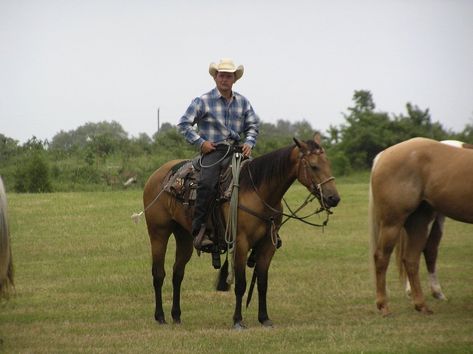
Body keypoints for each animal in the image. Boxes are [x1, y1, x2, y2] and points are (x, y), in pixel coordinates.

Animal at [142, 134, 338, 328]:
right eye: (313, 166)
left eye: (328, 163)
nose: (334, 198)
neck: (258, 192)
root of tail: (157, 175)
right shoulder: (240, 243)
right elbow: (241, 284)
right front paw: (237, 320)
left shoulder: (268, 245)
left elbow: (262, 283)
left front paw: (264, 318)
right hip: (159, 233)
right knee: (158, 273)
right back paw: (160, 317)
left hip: (184, 236)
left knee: (177, 274)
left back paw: (176, 316)